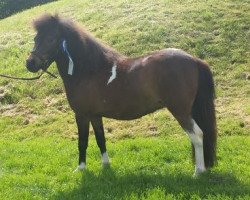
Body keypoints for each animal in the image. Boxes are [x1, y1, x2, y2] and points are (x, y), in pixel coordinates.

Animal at [25, 14, 217, 176]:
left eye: (50, 39)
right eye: (35, 39)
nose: (30, 63)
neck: (89, 71)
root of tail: (194, 60)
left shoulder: (82, 115)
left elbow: (82, 142)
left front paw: (80, 169)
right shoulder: (95, 115)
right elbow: (100, 139)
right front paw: (105, 165)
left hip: (180, 111)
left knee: (197, 135)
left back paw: (198, 172)